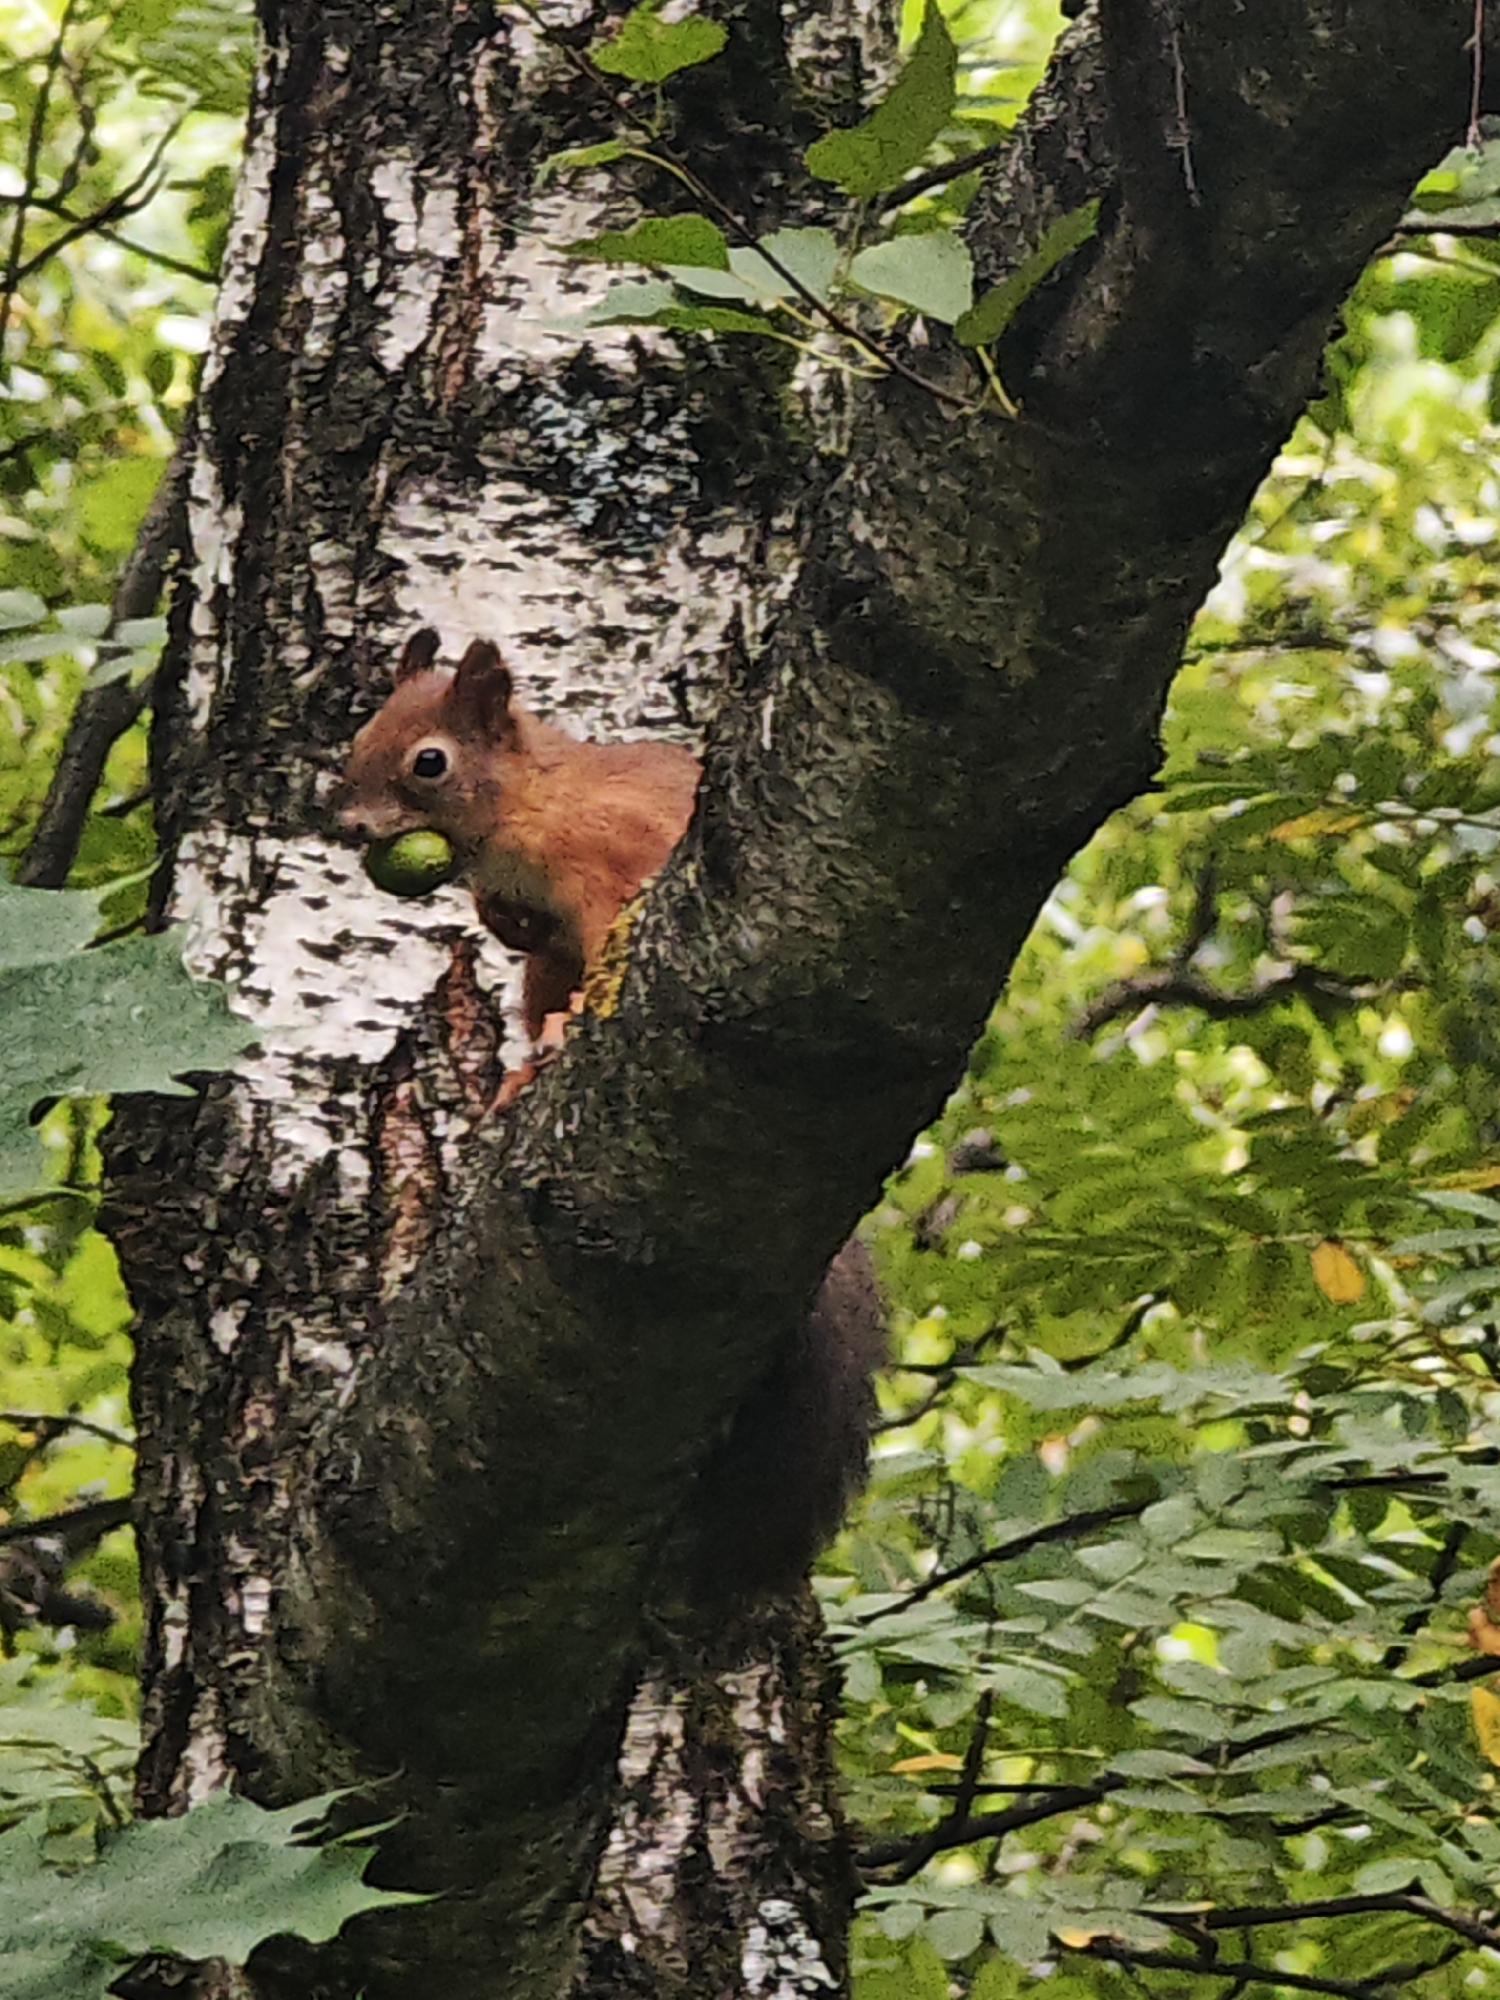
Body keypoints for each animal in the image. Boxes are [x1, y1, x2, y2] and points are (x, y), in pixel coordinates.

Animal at [336, 629, 884, 1607]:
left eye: (429, 762)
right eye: (359, 736)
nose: (351, 827)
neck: (531, 808)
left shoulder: (609, 870)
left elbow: (604, 945)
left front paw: (566, 1026)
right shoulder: (539, 919)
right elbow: (520, 929)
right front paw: (499, 924)